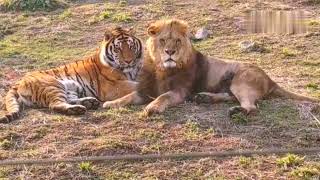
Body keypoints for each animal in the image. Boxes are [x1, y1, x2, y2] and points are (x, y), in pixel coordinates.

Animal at [0, 26, 142, 122]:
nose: (129, 61)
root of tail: (19, 81)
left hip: (72, 87)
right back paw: (77, 109)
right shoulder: (113, 86)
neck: (131, 69)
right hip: (52, 85)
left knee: (69, 99)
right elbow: (134, 85)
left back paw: (89, 102)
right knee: (54, 104)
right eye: (118, 48)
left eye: (131, 46)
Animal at [103, 19, 320, 116]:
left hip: (241, 81)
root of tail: (270, 79)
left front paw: (152, 107)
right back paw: (205, 98)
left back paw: (236, 111)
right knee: (231, 97)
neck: (161, 68)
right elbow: (129, 96)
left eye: (177, 41)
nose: (170, 52)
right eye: (163, 40)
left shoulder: (180, 91)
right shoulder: (144, 90)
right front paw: (110, 104)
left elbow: (163, 96)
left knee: (252, 107)